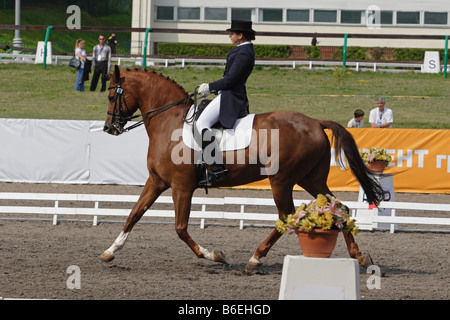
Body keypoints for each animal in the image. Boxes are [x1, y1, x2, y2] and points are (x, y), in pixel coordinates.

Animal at [100, 66, 382, 272]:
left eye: (112, 96)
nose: (109, 129)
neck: (170, 123)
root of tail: (314, 122)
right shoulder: (156, 181)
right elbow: (134, 214)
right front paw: (110, 252)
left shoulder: (182, 186)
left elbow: (180, 228)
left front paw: (214, 255)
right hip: (309, 178)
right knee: (339, 208)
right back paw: (359, 256)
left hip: (281, 179)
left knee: (286, 215)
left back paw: (255, 259)